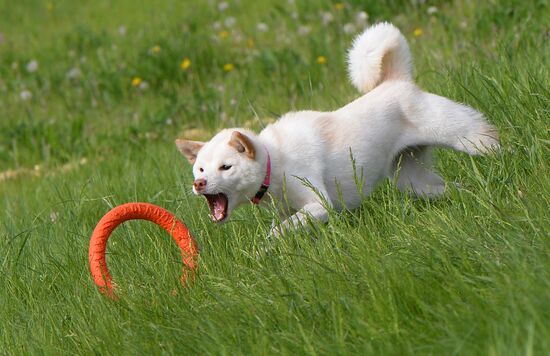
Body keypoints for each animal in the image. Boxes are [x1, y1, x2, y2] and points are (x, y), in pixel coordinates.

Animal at [177, 20, 500, 235]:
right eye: (201, 169)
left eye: (226, 167)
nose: (199, 184)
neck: (273, 159)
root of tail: (397, 80)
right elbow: (286, 227)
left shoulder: (319, 204)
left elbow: (279, 231)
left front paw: (265, 250)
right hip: (412, 181)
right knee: (450, 187)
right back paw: (468, 194)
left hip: (464, 137)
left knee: (492, 142)